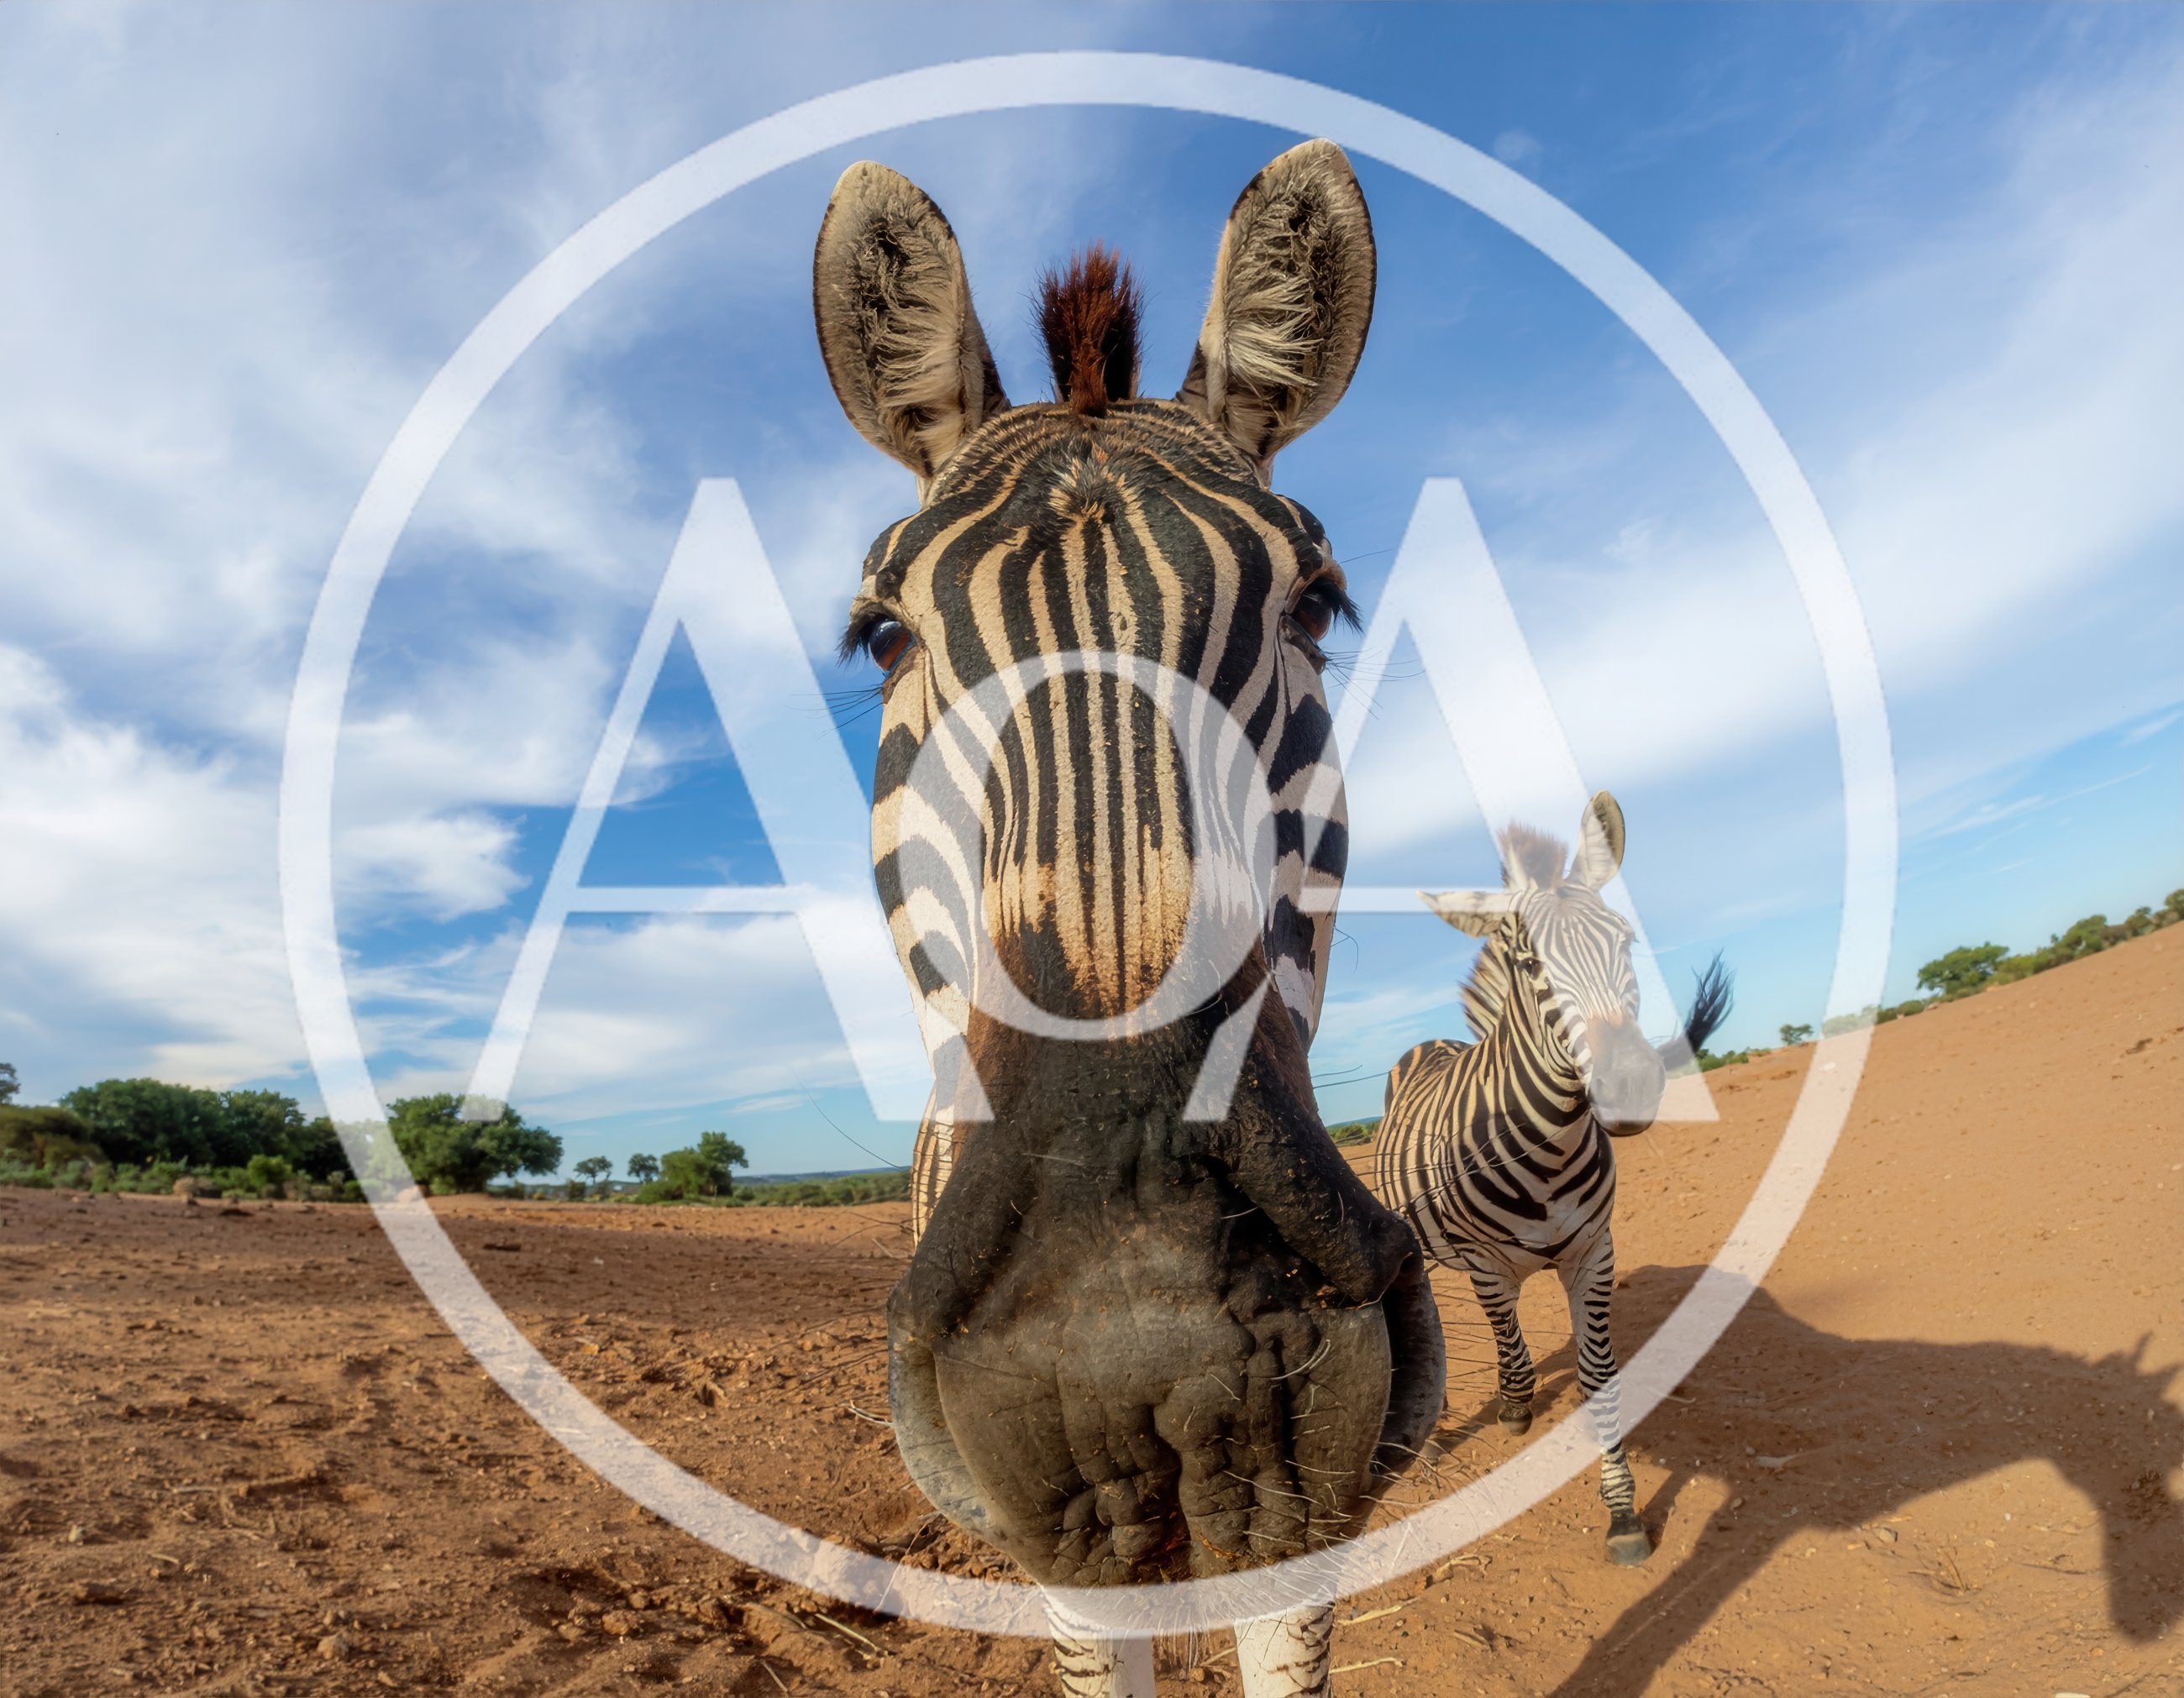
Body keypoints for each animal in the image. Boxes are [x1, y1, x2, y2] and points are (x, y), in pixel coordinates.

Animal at [1370, 791, 1732, 1566]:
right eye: (1528, 961)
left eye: (1625, 941)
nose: (1629, 1085)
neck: (1547, 1149)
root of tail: (1431, 1043)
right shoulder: (1485, 1265)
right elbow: (1513, 1357)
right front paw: (1512, 1407)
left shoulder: (1594, 1253)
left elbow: (1598, 1377)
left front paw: (1622, 1512)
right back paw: (1434, 1433)